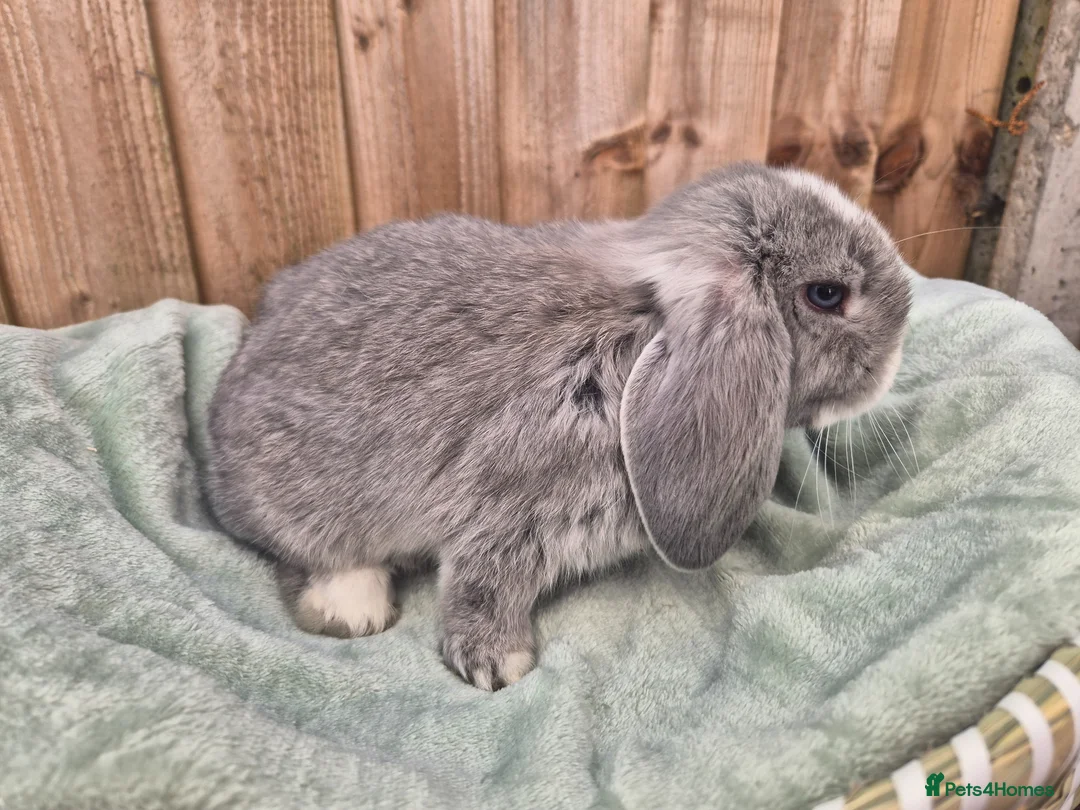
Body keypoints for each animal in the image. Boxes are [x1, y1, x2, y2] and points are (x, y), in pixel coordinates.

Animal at [205, 162, 912, 691]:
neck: (635, 336)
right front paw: (500, 664)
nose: (898, 352)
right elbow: (480, 583)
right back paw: (351, 611)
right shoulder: (511, 510)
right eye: (827, 295)